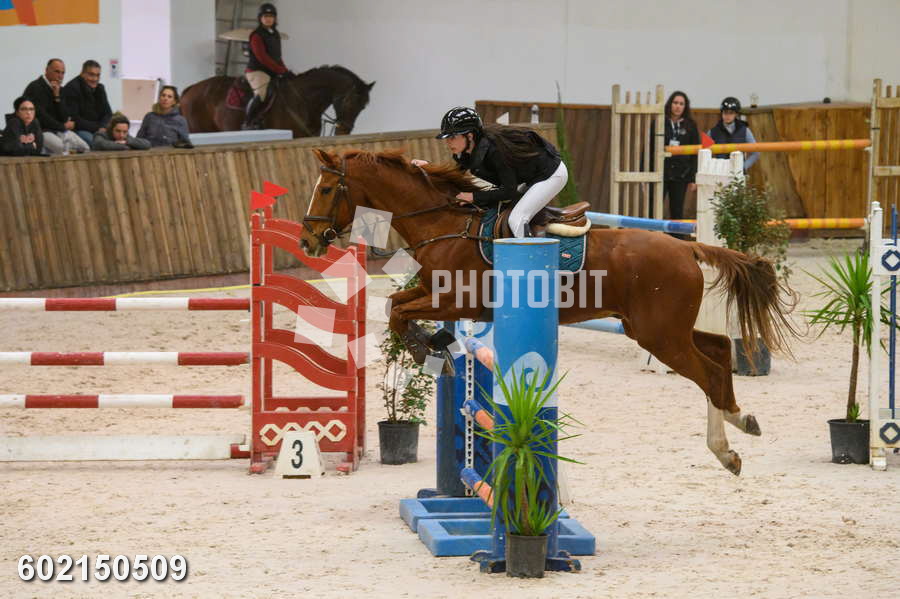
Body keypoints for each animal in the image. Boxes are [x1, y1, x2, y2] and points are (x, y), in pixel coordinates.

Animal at [179, 65, 374, 138]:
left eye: (363, 107)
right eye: (351, 102)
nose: (344, 131)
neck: (303, 100)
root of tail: (191, 89)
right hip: (198, 129)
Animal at [299, 148, 799, 476]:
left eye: (325, 189)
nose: (307, 241)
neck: (444, 224)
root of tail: (686, 247)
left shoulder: (456, 300)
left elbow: (400, 313)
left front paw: (426, 347)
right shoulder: (431, 292)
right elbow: (396, 305)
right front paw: (433, 343)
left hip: (659, 336)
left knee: (709, 372)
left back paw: (729, 444)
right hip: (661, 330)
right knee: (719, 349)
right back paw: (738, 424)